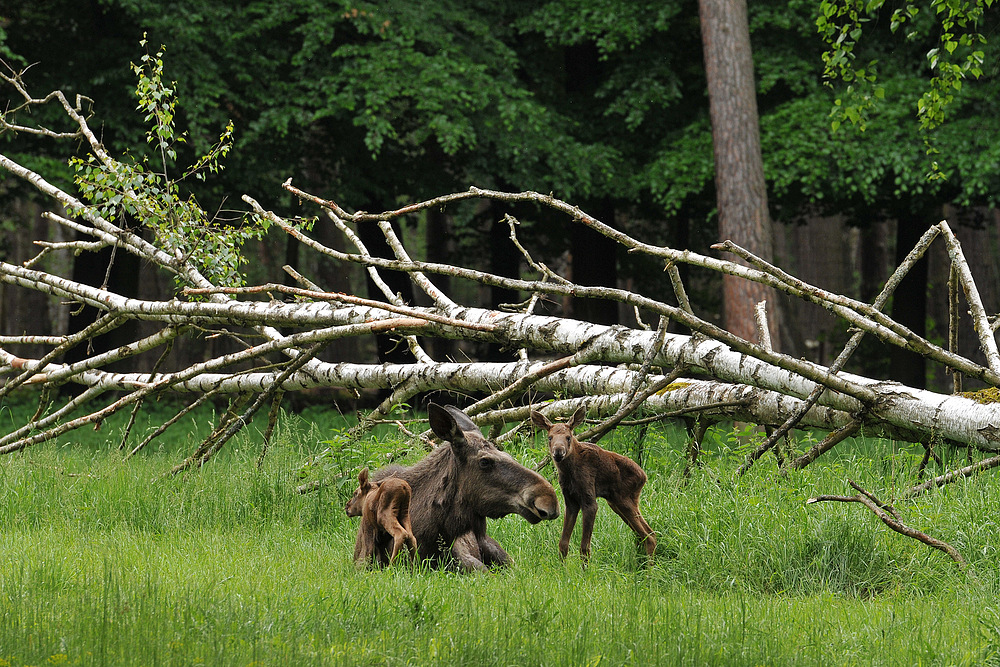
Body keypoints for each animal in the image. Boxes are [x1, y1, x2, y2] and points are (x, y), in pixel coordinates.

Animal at [532, 404, 656, 568]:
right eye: (549, 437)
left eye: (568, 437)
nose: (558, 452)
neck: (569, 472)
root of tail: (644, 476)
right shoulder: (570, 501)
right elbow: (563, 543)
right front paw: (562, 569)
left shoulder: (589, 500)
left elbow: (584, 547)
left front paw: (585, 571)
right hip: (616, 502)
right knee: (644, 534)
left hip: (623, 500)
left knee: (649, 535)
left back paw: (649, 571)